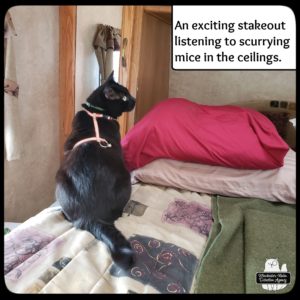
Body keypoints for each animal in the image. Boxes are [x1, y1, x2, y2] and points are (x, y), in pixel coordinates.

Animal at [55, 72, 136, 270]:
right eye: (124, 97)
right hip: (125, 178)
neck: (96, 112)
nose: (134, 99)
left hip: (60, 180)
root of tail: (91, 216)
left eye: (128, 93)